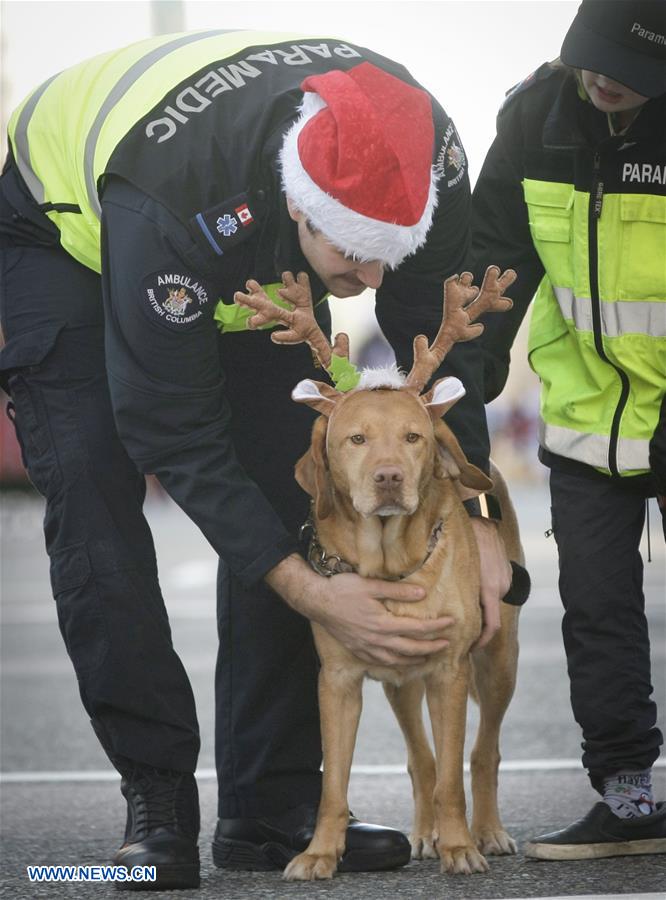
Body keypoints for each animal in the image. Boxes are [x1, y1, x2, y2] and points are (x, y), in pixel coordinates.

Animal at [235, 268, 524, 880]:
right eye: (356, 439)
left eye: (413, 437)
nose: (389, 477)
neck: (390, 567)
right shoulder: (338, 682)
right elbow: (335, 785)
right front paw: (320, 852)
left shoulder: (449, 673)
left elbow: (454, 775)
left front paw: (459, 845)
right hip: (398, 684)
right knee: (421, 759)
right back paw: (422, 834)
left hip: (498, 660)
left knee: (481, 752)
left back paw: (485, 831)